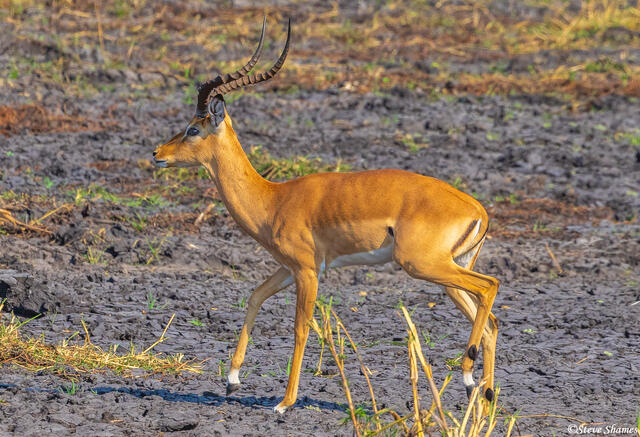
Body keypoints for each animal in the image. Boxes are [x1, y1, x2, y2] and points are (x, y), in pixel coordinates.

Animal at [152, 17, 499, 414]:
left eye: (193, 129)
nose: (157, 153)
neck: (273, 199)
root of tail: (478, 209)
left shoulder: (306, 270)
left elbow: (300, 328)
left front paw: (285, 402)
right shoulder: (290, 267)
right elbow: (255, 296)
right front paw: (232, 379)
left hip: (424, 265)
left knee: (490, 287)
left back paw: (469, 373)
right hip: (448, 273)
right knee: (491, 322)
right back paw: (484, 396)